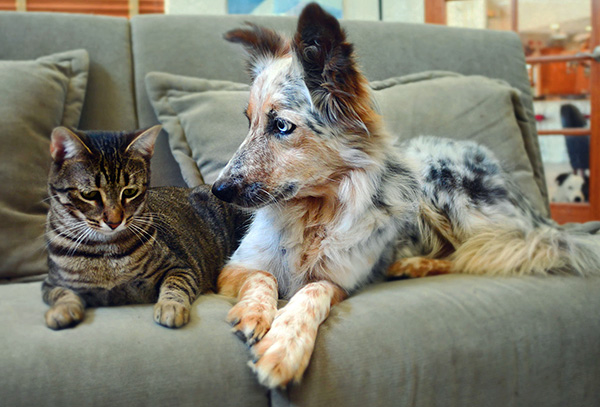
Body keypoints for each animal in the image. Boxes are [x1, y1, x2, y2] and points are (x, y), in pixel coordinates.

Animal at [43, 127, 247, 332]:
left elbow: (176, 286)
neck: (105, 253)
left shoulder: (181, 267)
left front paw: (170, 306)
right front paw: (62, 310)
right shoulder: (50, 283)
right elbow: (62, 293)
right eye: (89, 194)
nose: (114, 222)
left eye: (130, 192)